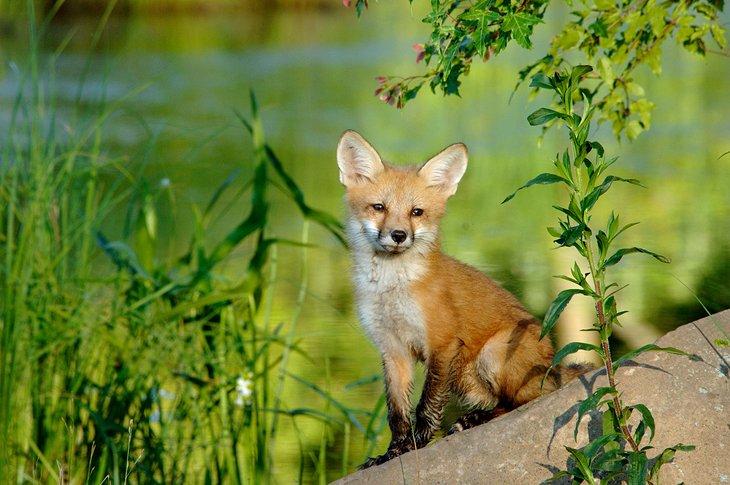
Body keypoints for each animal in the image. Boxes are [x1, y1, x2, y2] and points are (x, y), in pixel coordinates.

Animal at [336, 130, 590, 468]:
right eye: (378, 207)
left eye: (416, 212)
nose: (399, 235)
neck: (392, 290)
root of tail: (555, 363)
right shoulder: (392, 350)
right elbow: (397, 413)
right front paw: (392, 453)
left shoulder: (442, 343)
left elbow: (427, 405)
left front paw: (417, 445)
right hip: (465, 378)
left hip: (491, 355)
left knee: (526, 400)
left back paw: (474, 420)